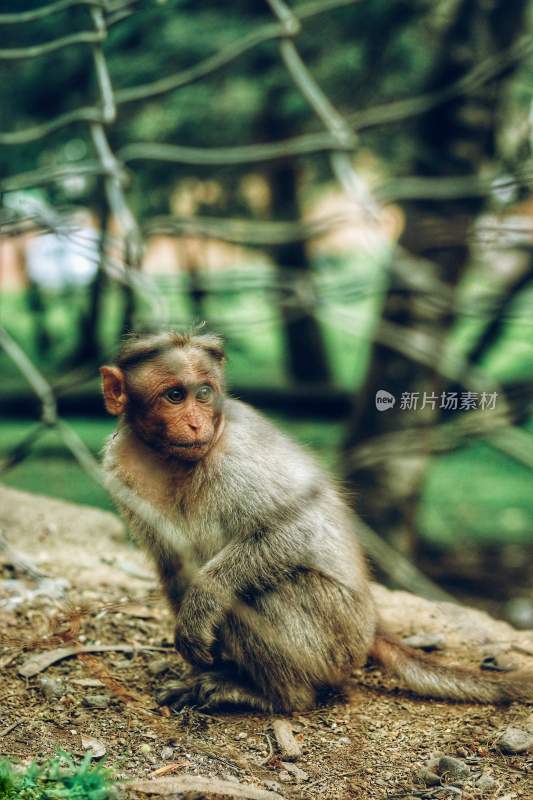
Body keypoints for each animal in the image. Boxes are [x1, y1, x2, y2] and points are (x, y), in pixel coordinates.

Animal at [100, 332, 532, 712]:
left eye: (203, 394)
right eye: (175, 395)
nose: (196, 424)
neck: (171, 461)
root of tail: (371, 628)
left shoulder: (238, 456)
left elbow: (296, 531)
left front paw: (201, 608)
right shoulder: (120, 469)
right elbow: (172, 564)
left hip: (335, 642)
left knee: (264, 592)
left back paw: (276, 696)